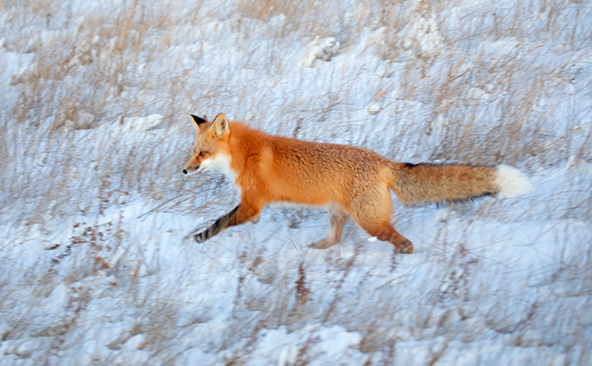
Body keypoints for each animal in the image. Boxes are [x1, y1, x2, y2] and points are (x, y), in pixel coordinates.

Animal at [183, 113, 536, 253]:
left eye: (202, 153)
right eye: (192, 151)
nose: (185, 171)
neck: (245, 154)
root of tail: (384, 162)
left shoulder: (252, 205)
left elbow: (219, 222)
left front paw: (198, 238)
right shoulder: (252, 206)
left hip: (370, 221)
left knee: (402, 242)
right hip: (338, 213)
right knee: (333, 241)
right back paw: (313, 252)